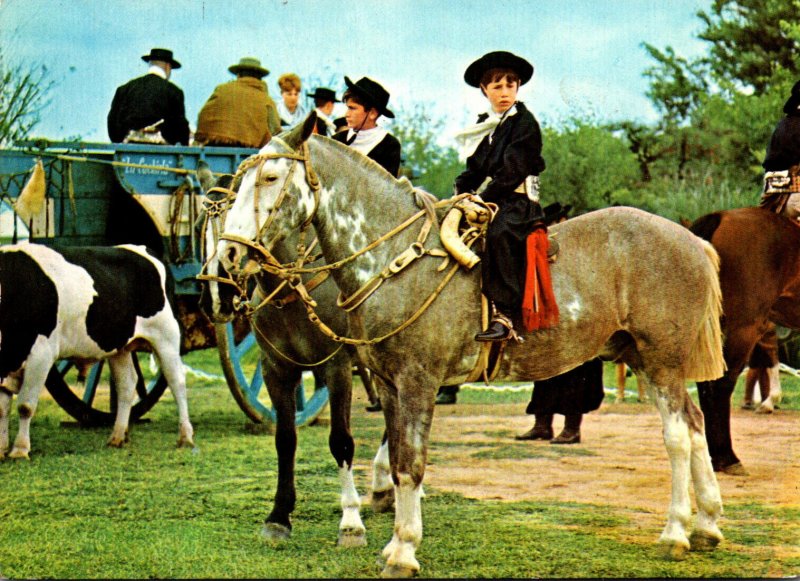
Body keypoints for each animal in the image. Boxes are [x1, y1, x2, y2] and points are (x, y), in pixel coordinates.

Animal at [0, 241, 193, 458]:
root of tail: (141, 249)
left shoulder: (42, 353)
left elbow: (25, 405)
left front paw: (19, 450)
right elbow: (2, 408)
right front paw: (1, 449)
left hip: (166, 337)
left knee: (176, 381)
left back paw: (186, 437)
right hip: (121, 347)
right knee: (127, 384)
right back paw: (117, 437)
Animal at [217, 116, 724, 576]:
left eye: (270, 177)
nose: (229, 254)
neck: (396, 257)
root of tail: (691, 240)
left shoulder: (417, 382)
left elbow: (411, 464)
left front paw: (404, 551)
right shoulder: (389, 385)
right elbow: (397, 457)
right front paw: (392, 543)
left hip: (662, 361)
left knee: (677, 436)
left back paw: (676, 532)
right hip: (642, 360)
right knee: (695, 424)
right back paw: (707, 525)